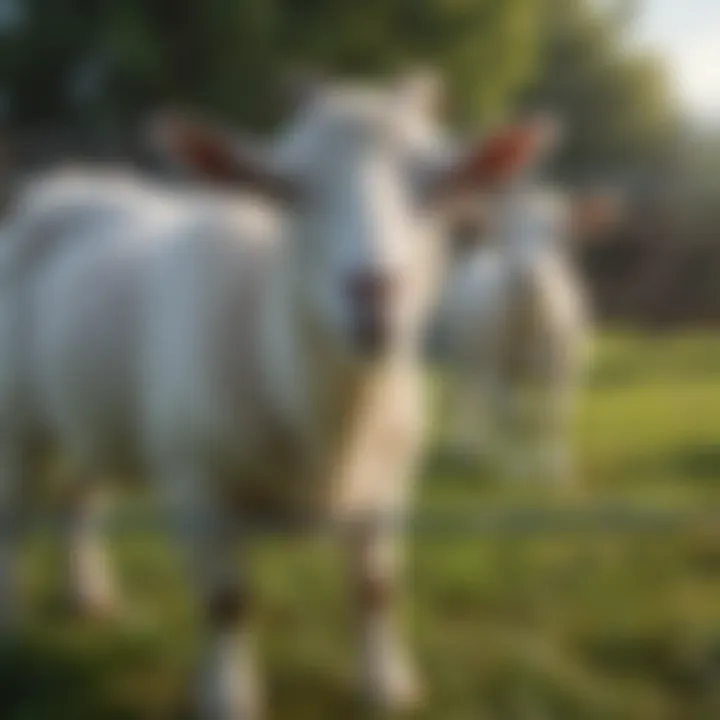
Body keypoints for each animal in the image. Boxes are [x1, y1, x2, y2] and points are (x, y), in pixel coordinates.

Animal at [0, 76, 552, 716]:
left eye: (440, 183)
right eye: (287, 189)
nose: (374, 297)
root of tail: (66, 183)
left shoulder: (388, 483)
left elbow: (376, 588)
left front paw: (387, 686)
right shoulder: (200, 484)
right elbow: (226, 601)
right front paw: (228, 697)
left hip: (96, 414)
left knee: (78, 496)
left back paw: (88, 595)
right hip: (19, 415)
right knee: (16, 513)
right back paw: (14, 623)